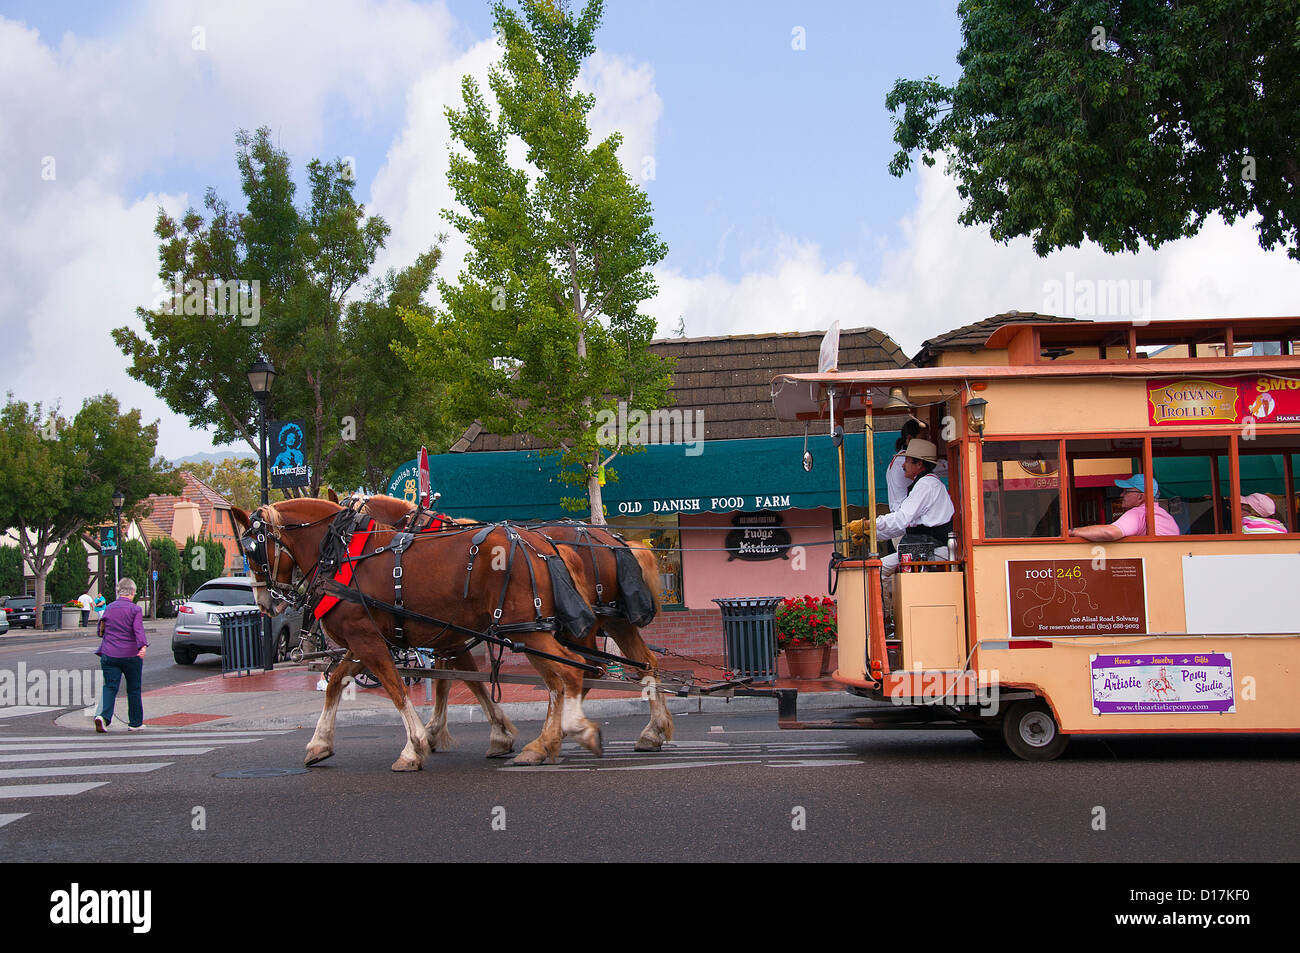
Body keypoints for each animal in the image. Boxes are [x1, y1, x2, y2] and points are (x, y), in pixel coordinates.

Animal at [231, 494, 600, 769]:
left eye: (252, 551)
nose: (265, 603)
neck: (344, 555)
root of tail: (543, 544)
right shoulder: (367, 639)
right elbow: (337, 683)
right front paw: (319, 743)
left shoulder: (371, 639)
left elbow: (399, 688)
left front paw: (416, 746)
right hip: (525, 630)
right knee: (558, 679)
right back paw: (544, 743)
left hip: (526, 630)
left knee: (570, 672)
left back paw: (575, 729)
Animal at [358, 494, 681, 754]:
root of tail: (616, 542)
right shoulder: (449, 636)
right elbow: (451, 680)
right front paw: (440, 731)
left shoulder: (448, 635)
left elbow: (449, 680)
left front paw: (435, 732)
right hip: (613, 619)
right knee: (642, 663)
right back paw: (649, 732)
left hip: (577, 625)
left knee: (585, 670)